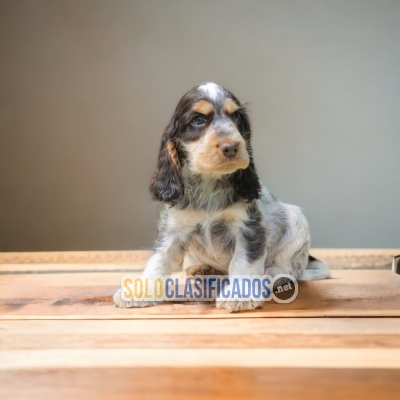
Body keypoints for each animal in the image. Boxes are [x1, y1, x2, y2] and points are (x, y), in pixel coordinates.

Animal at [113, 82, 332, 312]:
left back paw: (269, 275)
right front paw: (138, 293)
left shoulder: (248, 227)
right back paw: (203, 268)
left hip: (296, 219)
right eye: (198, 119)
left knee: (289, 272)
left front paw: (240, 295)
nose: (231, 147)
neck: (209, 182)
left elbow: (243, 262)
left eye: (235, 117)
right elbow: (158, 259)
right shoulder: (173, 227)